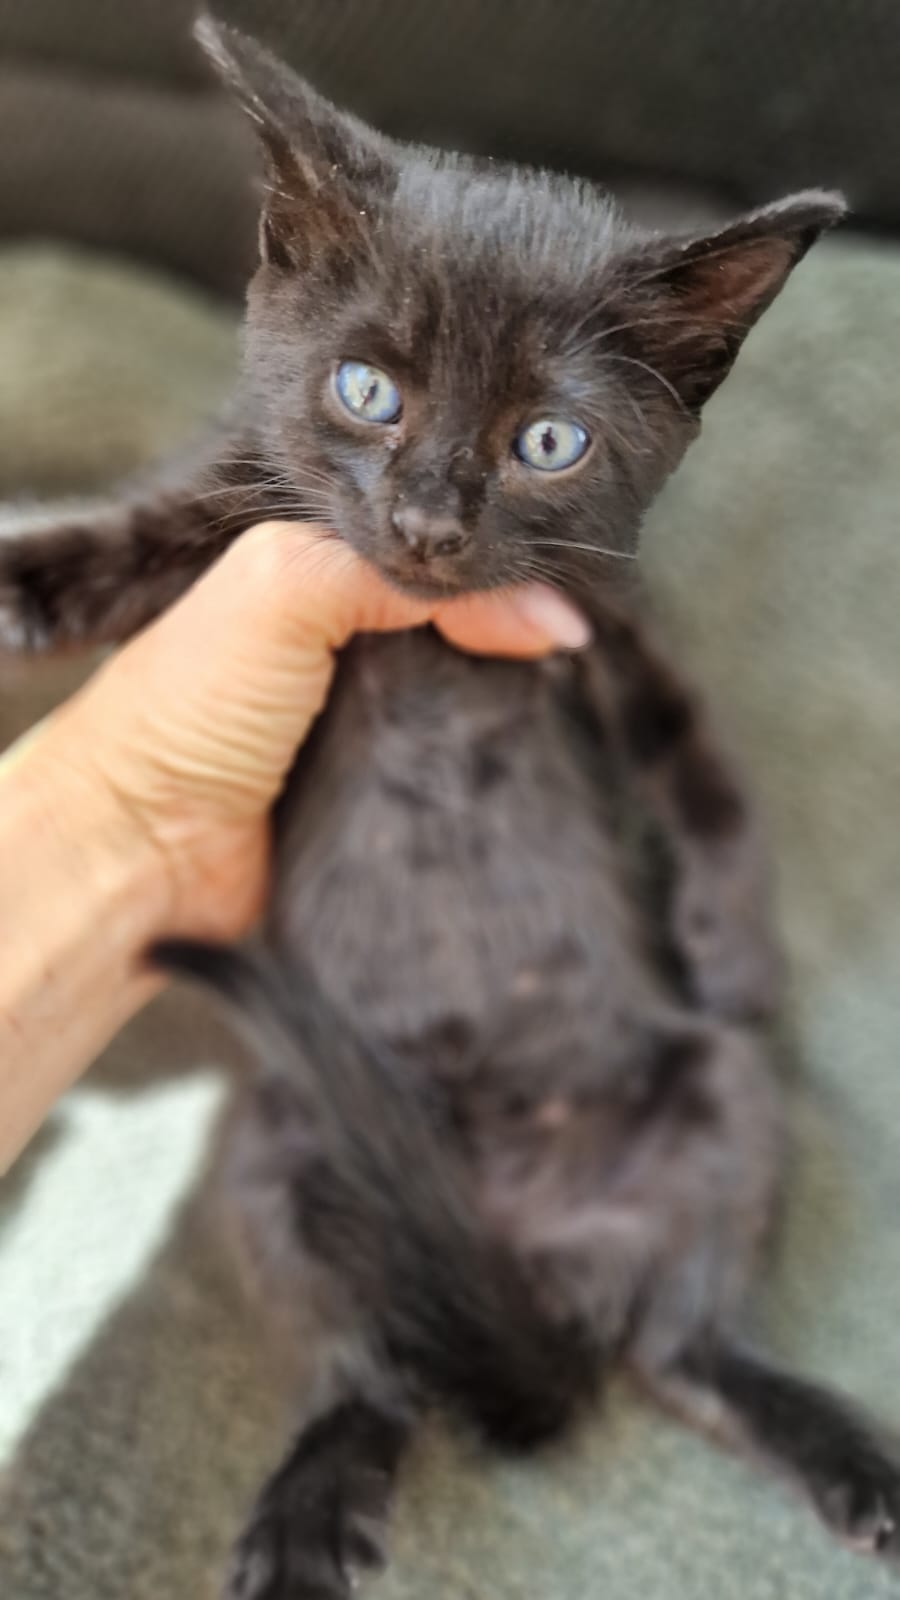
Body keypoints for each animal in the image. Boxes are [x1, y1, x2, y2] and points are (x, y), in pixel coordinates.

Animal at [5, 15, 890, 1600]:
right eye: (368, 392)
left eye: (549, 443)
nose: (424, 526)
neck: (427, 640)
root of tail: (517, 1250)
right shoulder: (245, 515)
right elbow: (144, 533)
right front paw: (24, 571)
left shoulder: (609, 622)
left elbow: (699, 758)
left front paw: (734, 950)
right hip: (279, 1152)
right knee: (367, 1373)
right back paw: (310, 1500)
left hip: (714, 1105)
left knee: (682, 1347)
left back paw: (833, 1443)